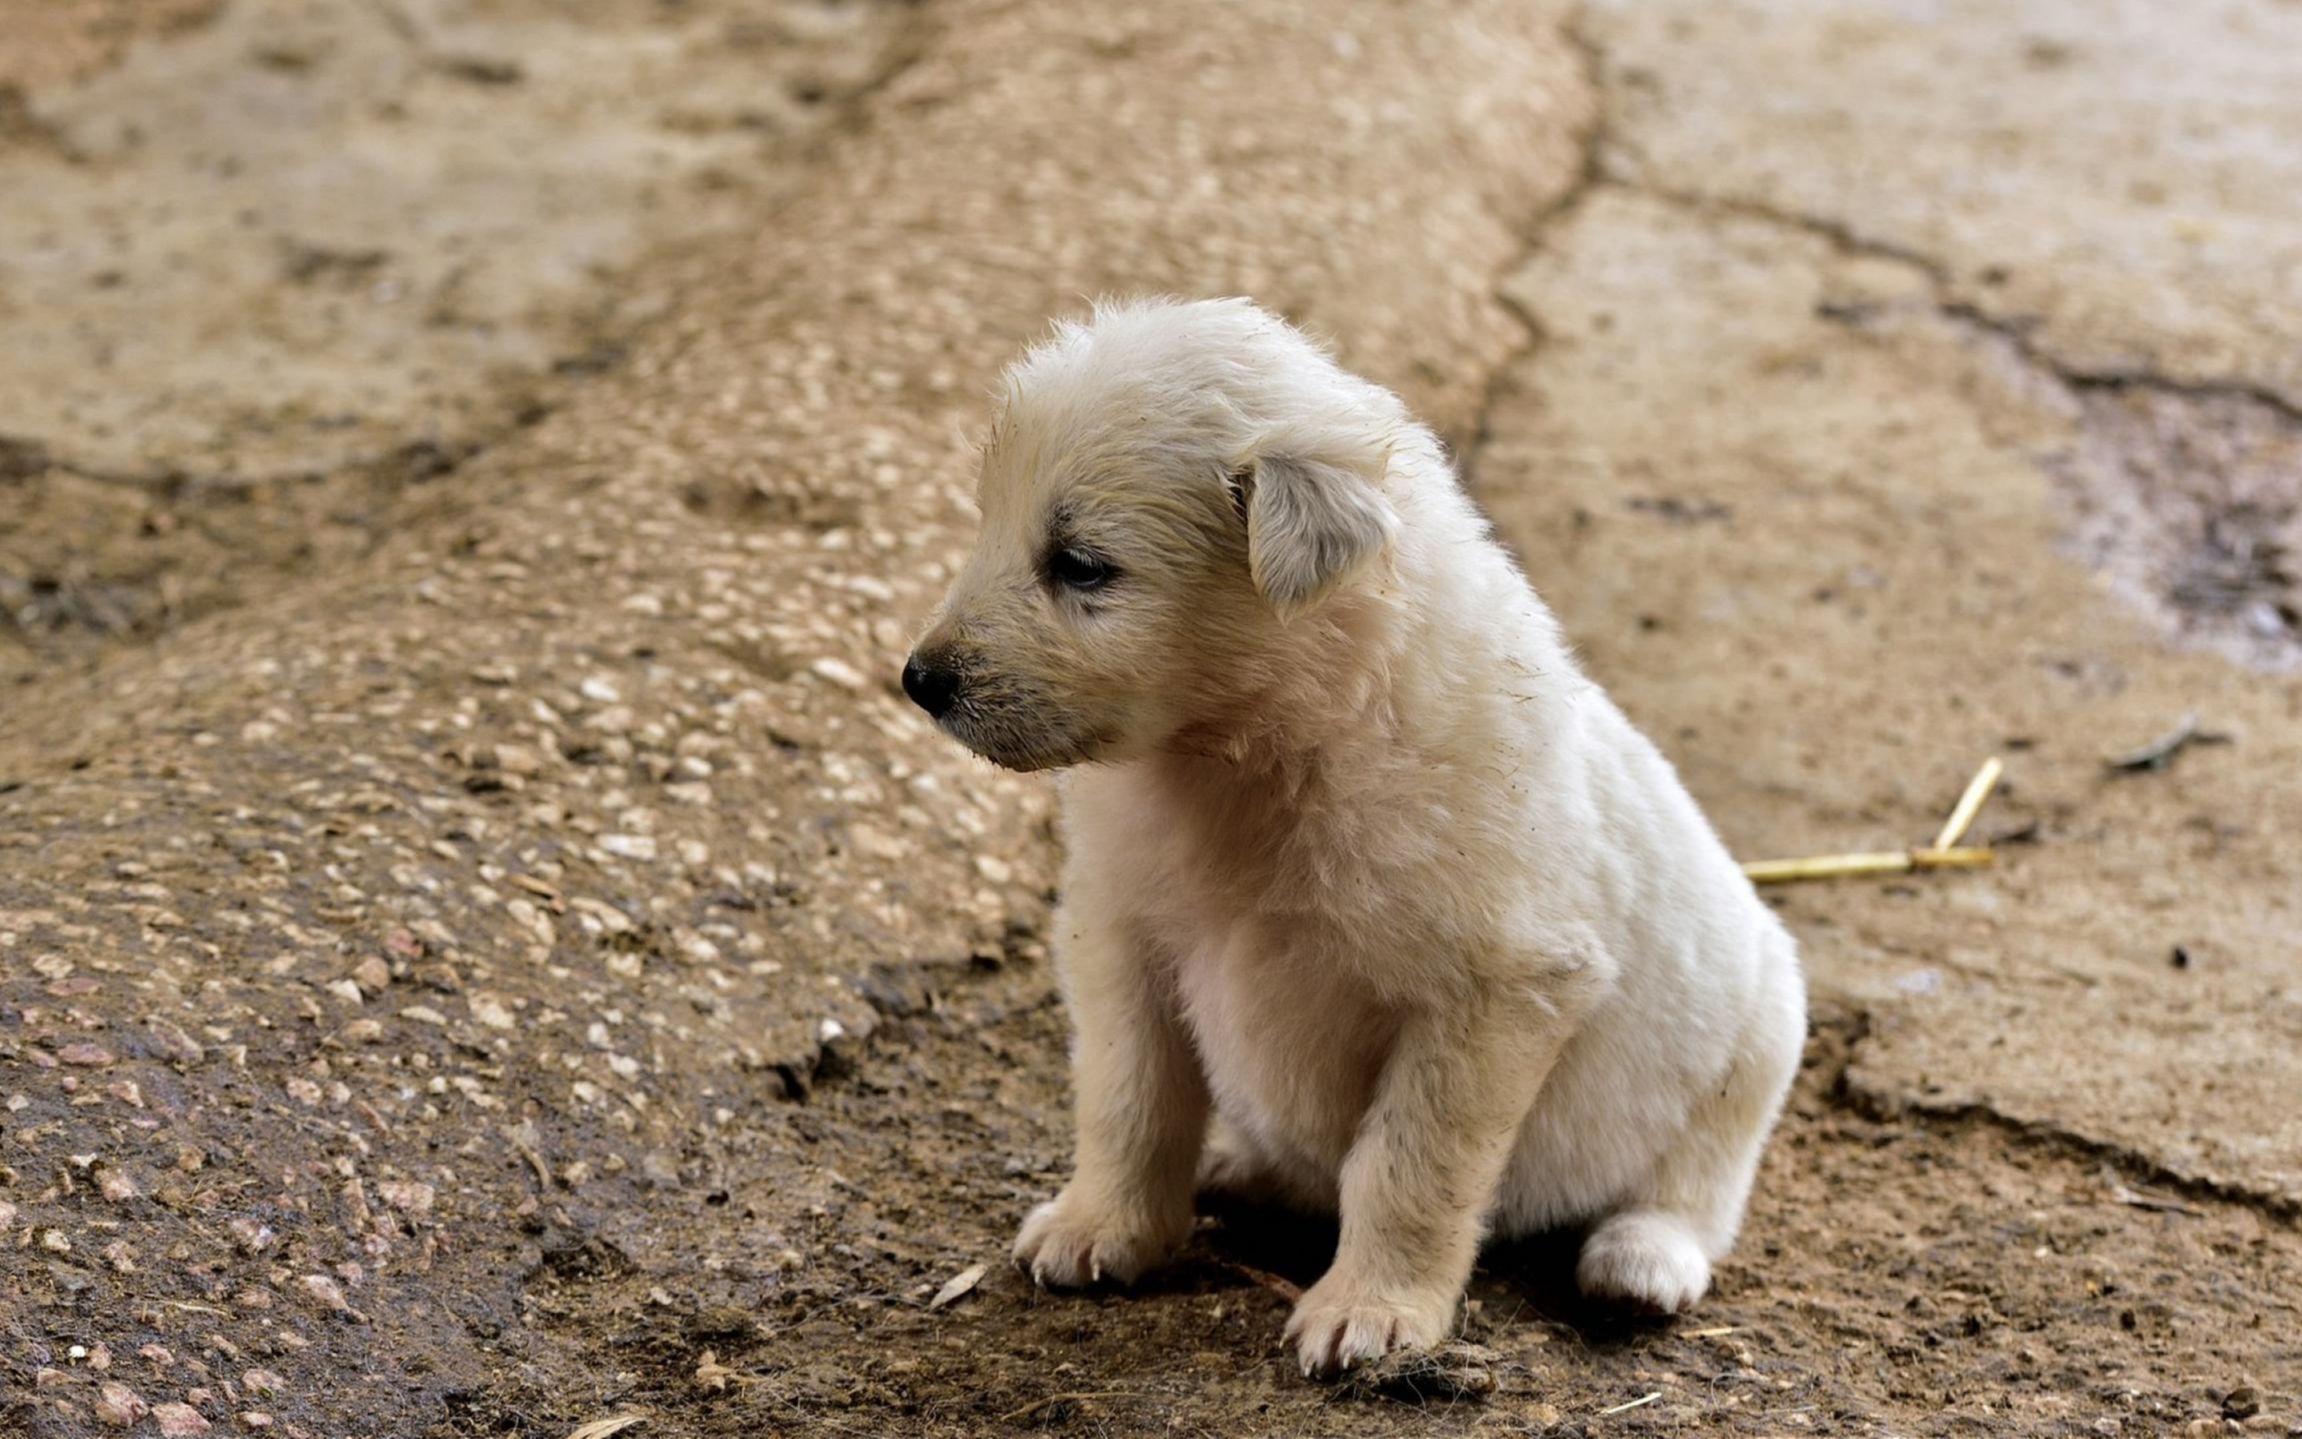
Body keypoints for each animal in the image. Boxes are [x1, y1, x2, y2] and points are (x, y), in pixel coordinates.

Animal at [906, 297, 1804, 1372]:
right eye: (988, 523)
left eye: (1081, 565)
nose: (919, 680)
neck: (1259, 750)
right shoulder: (1119, 930)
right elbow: (1128, 1095)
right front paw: (1101, 1227)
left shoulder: (1498, 988)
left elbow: (1409, 1161)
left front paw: (1372, 1310)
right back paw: (1239, 1165)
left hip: (1758, 1038)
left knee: (1696, 1185)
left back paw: (1640, 1261)